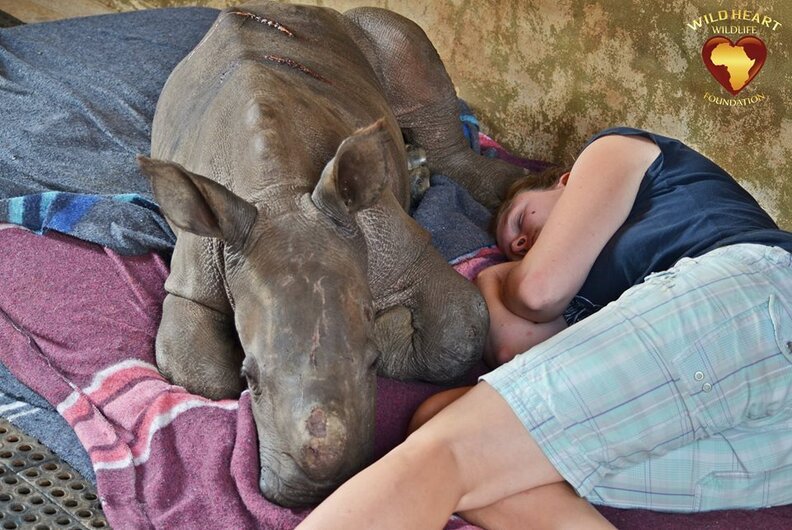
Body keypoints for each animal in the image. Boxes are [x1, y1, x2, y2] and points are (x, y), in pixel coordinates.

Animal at [137, 1, 526, 507]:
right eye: (251, 378)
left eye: (372, 364)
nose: (314, 492)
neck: (276, 191)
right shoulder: (197, 273)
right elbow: (193, 369)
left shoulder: (393, 242)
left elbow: (458, 333)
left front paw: (391, 325)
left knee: (406, 52)